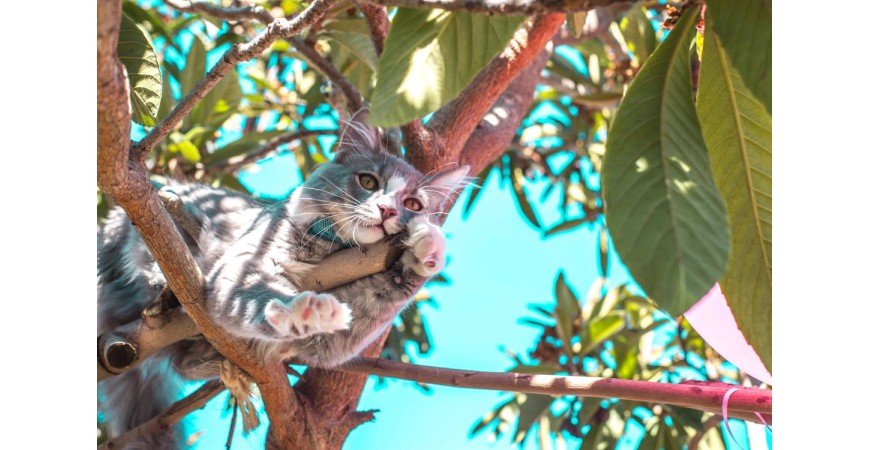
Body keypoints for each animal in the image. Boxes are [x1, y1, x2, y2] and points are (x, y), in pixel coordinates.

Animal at [97, 114, 470, 448]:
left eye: (413, 204)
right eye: (368, 182)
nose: (388, 211)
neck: (332, 250)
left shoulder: (342, 335)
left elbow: (390, 292)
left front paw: (426, 247)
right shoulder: (247, 266)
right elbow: (266, 296)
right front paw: (310, 310)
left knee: (185, 365)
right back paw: (167, 298)